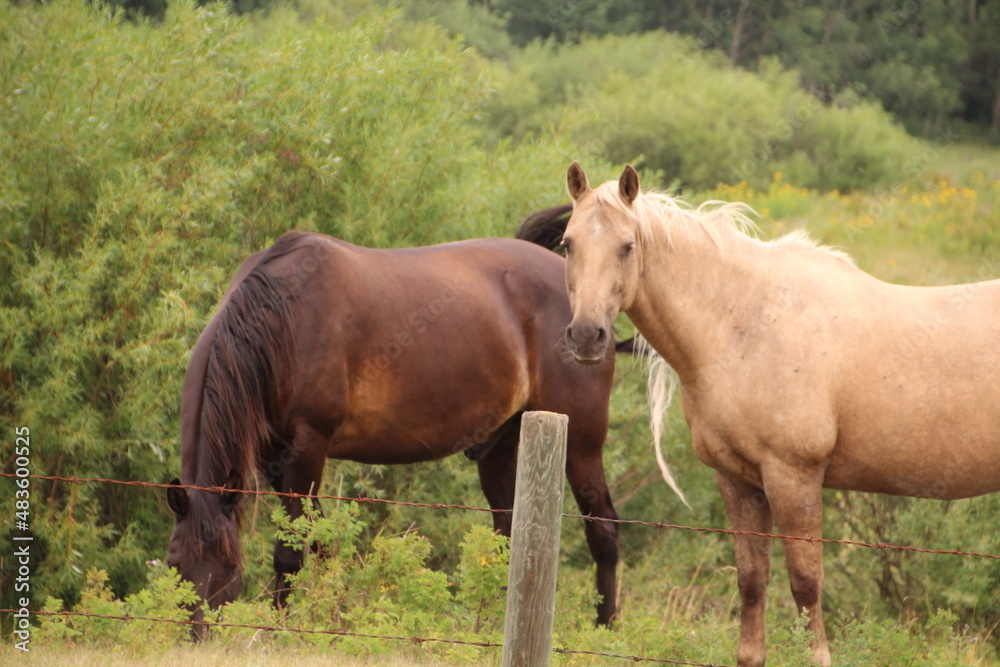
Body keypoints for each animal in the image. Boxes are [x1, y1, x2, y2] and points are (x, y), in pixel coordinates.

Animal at [169, 209, 624, 636]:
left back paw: (605, 629)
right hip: (506, 441)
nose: (197, 636)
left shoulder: (307, 447)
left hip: (581, 442)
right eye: (174, 562)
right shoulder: (275, 457)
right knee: (509, 534)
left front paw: (282, 631)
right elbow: (322, 543)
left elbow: (292, 551)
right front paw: (333, 616)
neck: (285, 319)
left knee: (603, 531)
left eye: (228, 567)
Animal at [552, 163, 1000, 667]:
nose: (586, 335)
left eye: (627, 246)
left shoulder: (793, 478)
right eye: (568, 243)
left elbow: (805, 584)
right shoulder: (738, 481)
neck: (746, 324)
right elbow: (751, 579)